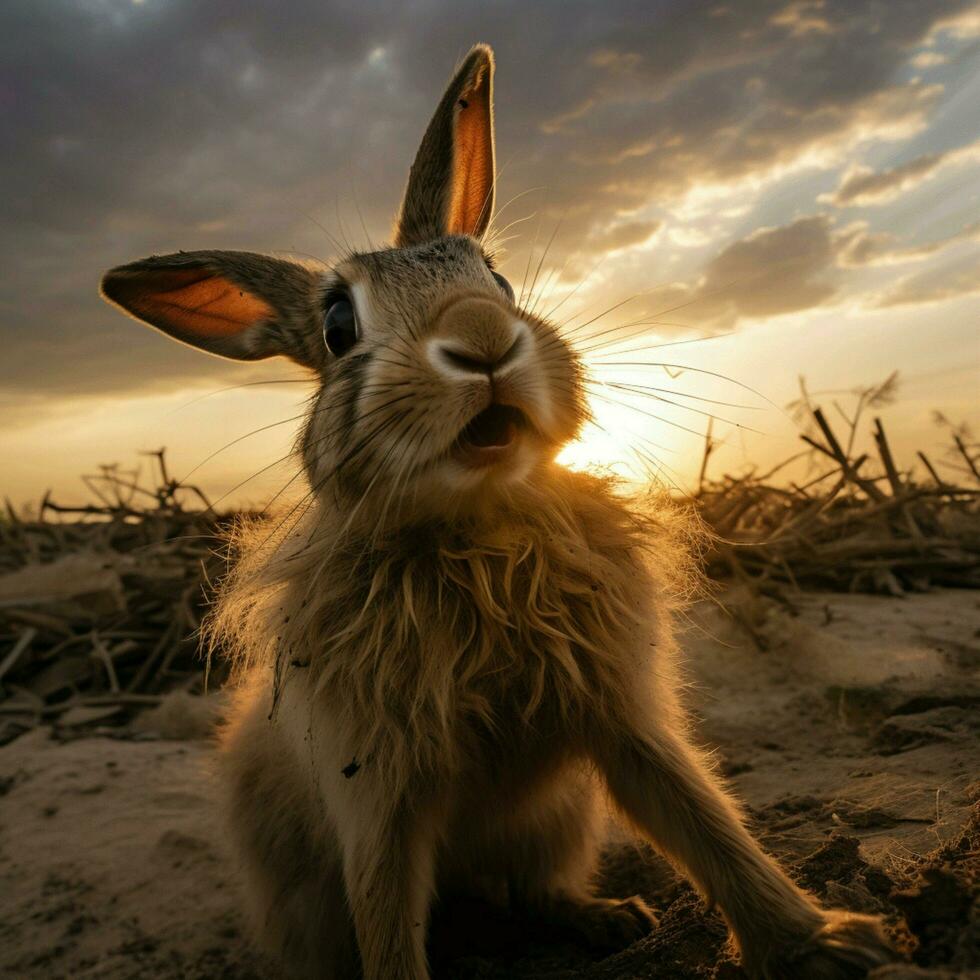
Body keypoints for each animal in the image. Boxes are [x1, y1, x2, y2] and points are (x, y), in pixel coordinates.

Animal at [101, 44, 896, 980]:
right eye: (337, 325)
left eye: (499, 278)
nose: (484, 339)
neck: (481, 528)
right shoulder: (375, 792)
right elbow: (387, 919)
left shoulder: (623, 718)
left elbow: (705, 823)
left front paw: (829, 945)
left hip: (558, 824)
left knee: (534, 890)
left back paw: (608, 919)